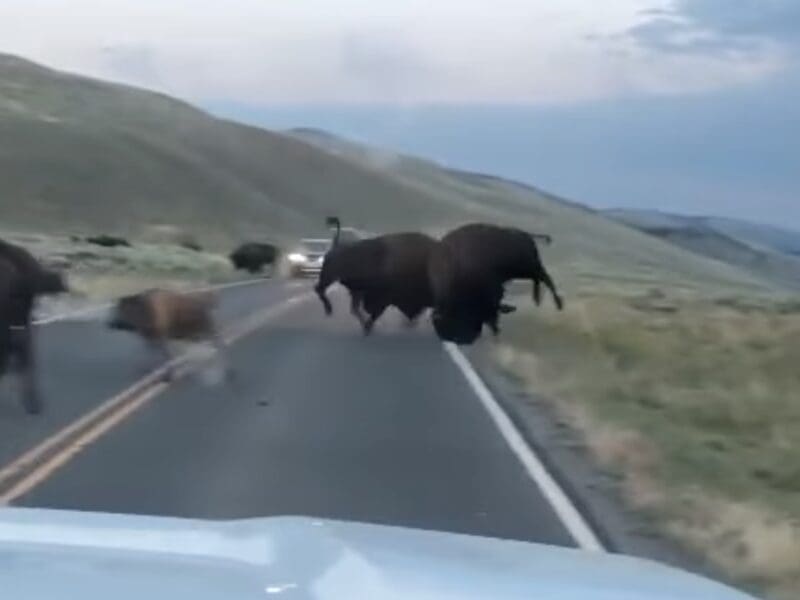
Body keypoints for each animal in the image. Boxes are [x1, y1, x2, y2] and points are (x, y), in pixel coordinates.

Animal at [429, 223, 563, 345]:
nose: (468, 339)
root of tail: (523, 233)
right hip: (524, 271)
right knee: (540, 279)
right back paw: (538, 300)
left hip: (528, 268)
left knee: (545, 278)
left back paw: (557, 303)